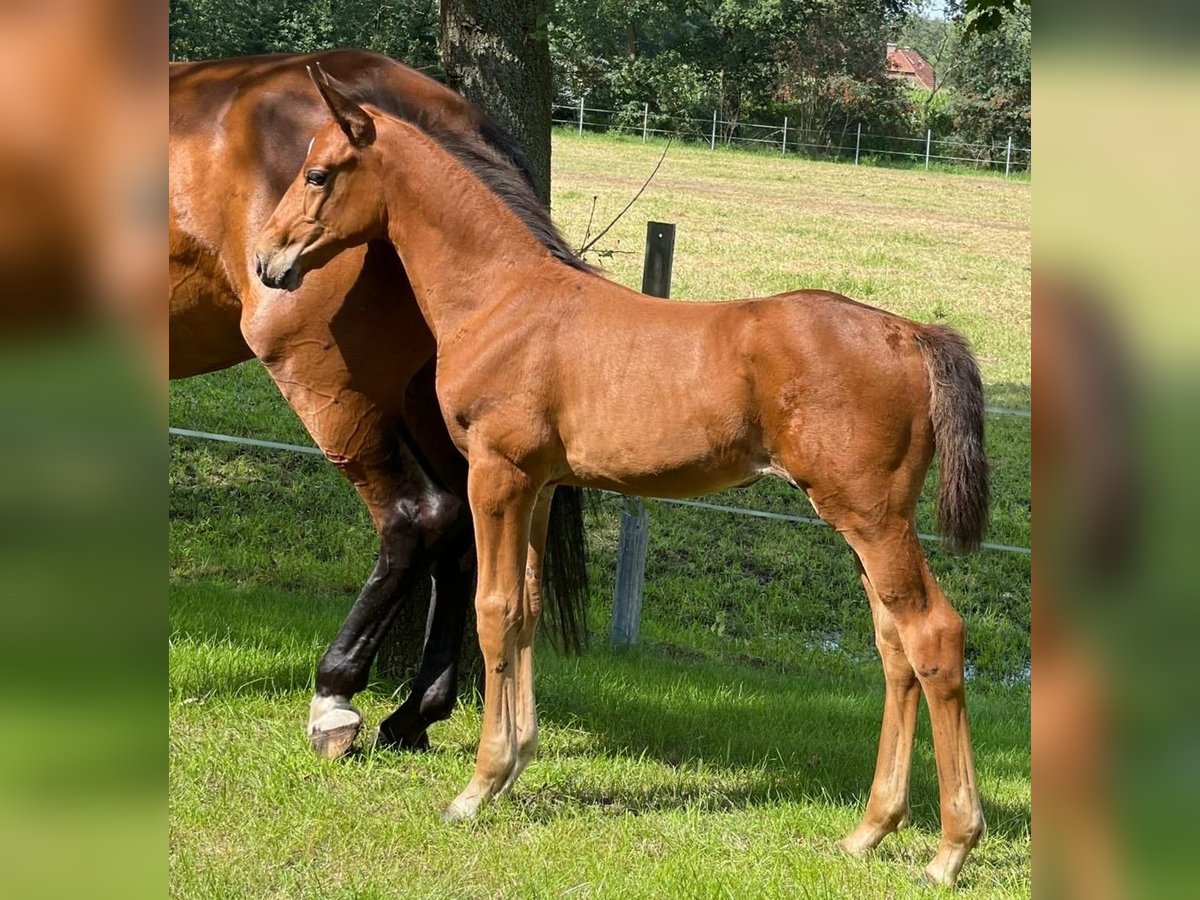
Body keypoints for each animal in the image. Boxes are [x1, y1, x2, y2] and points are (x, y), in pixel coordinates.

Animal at [166, 51, 588, 763]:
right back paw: (415, 712)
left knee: (417, 517)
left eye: (317, 176)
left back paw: (336, 699)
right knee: (465, 533)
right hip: (428, 402)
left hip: (332, 386)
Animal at [255, 70, 993, 888]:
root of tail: (912, 333)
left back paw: (950, 850)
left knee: (933, 635)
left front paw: (477, 788)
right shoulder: (541, 486)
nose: (267, 262)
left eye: (318, 174)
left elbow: (491, 609)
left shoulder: (497, 476)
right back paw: (869, 831)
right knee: (894, 647)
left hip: (871, 517)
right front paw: (515, 764)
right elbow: (527, 608)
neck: (503, 298)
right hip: (860, 521)